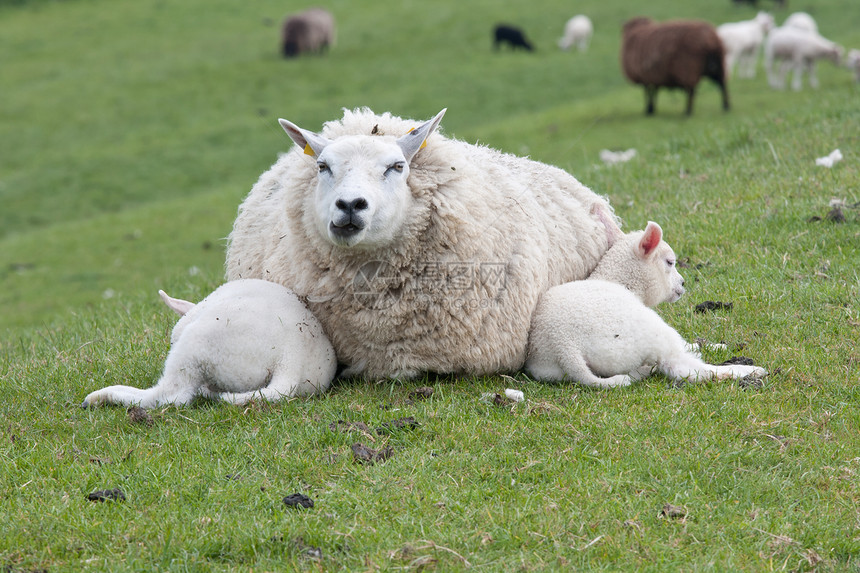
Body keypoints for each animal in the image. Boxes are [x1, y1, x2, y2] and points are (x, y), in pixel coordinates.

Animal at [528, 212, 768, 386]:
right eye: (670, 262)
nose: (682, 284)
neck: (618, 281)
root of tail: (564, 346)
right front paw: (713, 347)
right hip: (645, 333)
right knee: (687, 369)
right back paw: (747, 370)